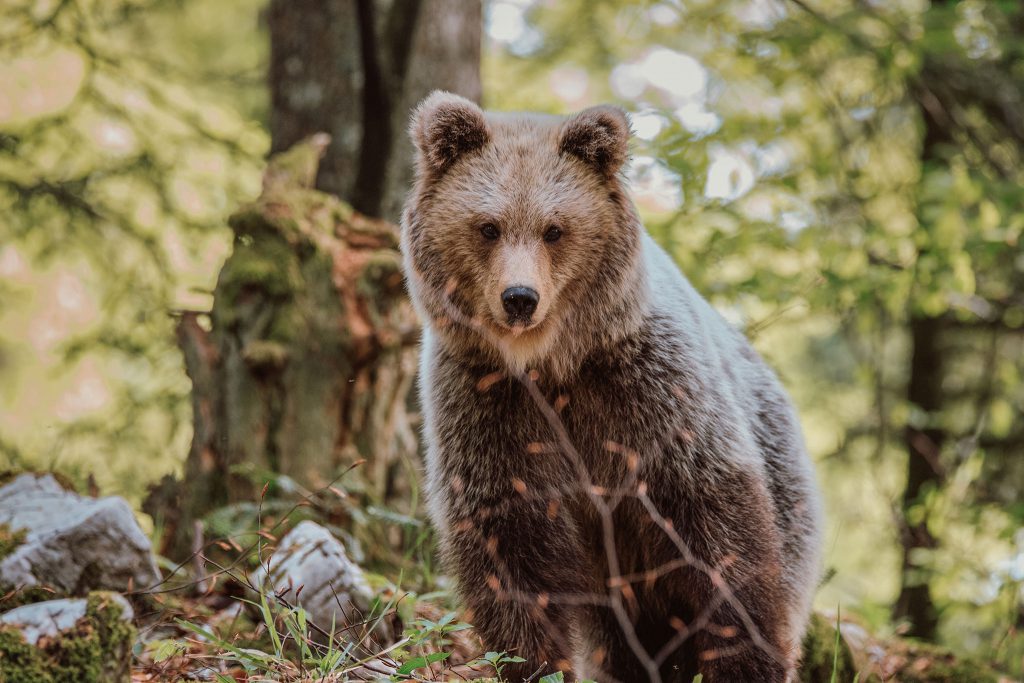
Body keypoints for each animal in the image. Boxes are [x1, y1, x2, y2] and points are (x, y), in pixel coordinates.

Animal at [399, 92, 823, 683]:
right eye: (488, 226)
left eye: (555, 229)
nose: (520, 298)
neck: (551, 364)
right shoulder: (489, 403)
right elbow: (512, 547)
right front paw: (535, 663)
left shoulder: (649, 393)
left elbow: (720, 533)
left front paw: (747, 660)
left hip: (786, 489)